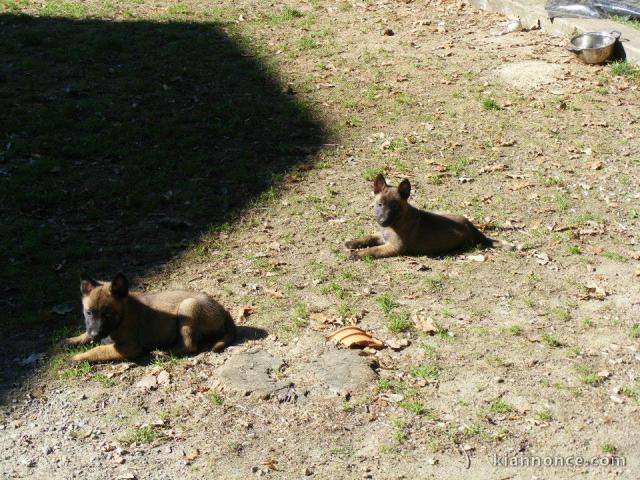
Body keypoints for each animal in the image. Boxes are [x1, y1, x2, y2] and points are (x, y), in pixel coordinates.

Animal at [63, 272, 235, 362]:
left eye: (108, 314)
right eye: (88, 312)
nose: (95, 334)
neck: (123, 317)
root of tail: (224, 311)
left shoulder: (129, 347)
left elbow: (98, 349)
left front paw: (77, 357)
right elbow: (85, 335)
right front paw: (71, 340)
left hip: (188, 307)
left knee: (189, 345)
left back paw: (163, 353)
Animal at [344, 175, 510, 260]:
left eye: (395, 207)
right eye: (380, 204)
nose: (383, 221)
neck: (397, 221)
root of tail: (472, 228)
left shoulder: (393, 247)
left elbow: (373, 250)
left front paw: (358, 254)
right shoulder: (383, 236)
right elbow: (369, 237)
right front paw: (353, 243)